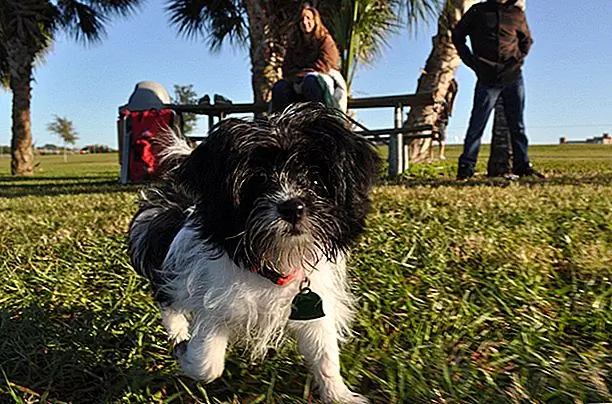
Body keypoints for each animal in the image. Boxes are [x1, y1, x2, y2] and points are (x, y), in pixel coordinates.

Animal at [128, 103, 378, 400]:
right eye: (257, 182)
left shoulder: (316, 306)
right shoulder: (215, 306)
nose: (292, 207)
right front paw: (185, 354)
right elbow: (207, 363)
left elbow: (325, 354)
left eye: (315, 180)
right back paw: (177, 333)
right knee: (168, 304)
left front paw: (338, 395)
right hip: (171, 277)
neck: (271, 261)